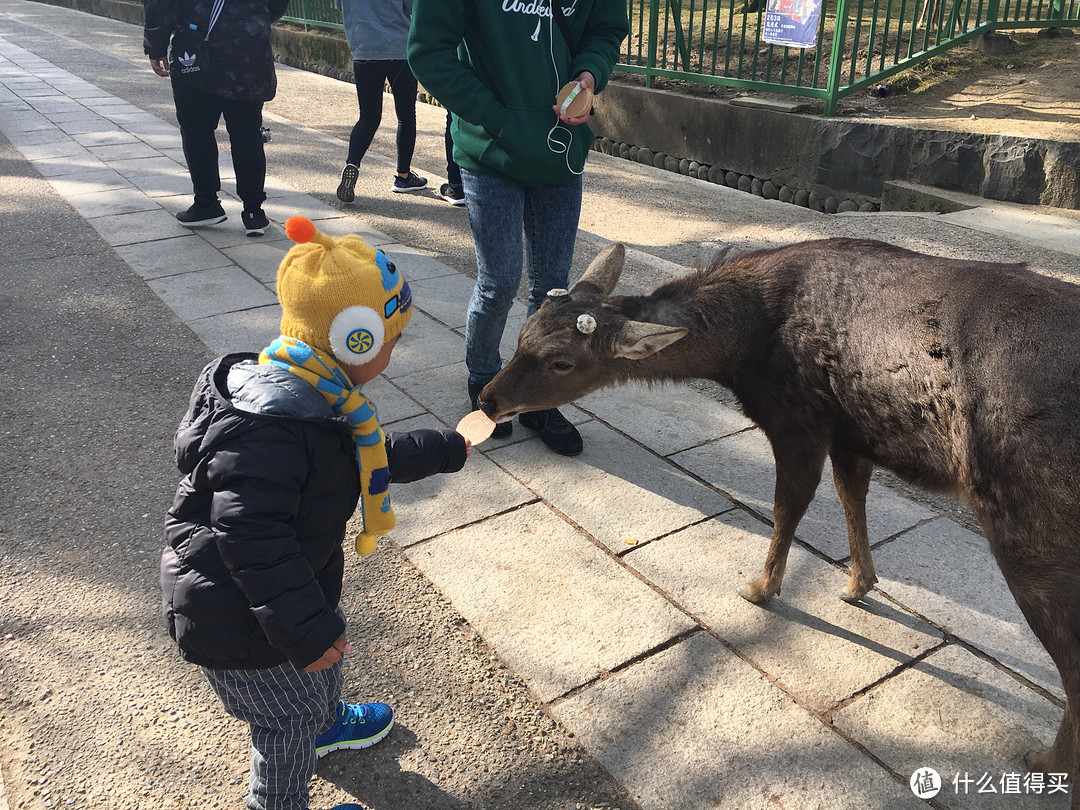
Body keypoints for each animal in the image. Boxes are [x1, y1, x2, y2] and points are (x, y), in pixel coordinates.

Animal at [479, 236, 1080, 799]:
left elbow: (788, 508)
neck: (741, 352)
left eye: (562, 361)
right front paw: (858, 584)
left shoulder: (798, 419)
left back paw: (1046, 763)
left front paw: (760, 587)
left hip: (1031, 518)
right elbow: (851, 497)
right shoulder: (851, 432)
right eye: (524, 332)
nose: (487, 399)